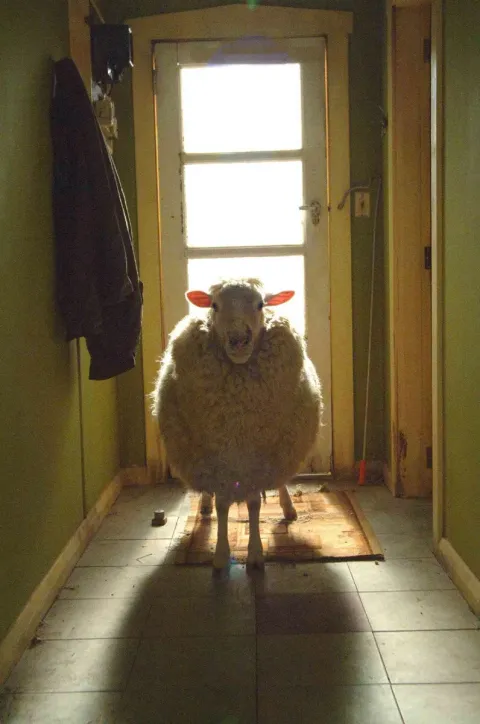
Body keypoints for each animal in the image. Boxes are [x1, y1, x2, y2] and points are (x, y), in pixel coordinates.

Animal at [153, 278, 322, 570]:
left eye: (260, 304)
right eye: (214, 305)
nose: (239, 340)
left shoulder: (256, 459)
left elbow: (254, 505)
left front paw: (255, 553)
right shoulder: (217, 460)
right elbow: (222, 506)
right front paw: (221, 555)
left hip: (279, 452)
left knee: (279, 482)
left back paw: (288, 508)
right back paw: (205, 506)